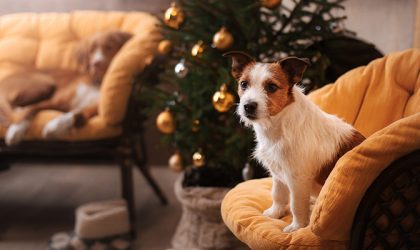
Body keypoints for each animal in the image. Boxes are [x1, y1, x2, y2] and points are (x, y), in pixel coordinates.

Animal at [225, 51, 366, 233]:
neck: (279, 125)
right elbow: (278, 195)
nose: (248, 106)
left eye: (271, 87)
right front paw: (275, 213)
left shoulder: (298, 180)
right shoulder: (278, 174)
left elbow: (296, 205)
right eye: (243, 84)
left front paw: (297, 226)